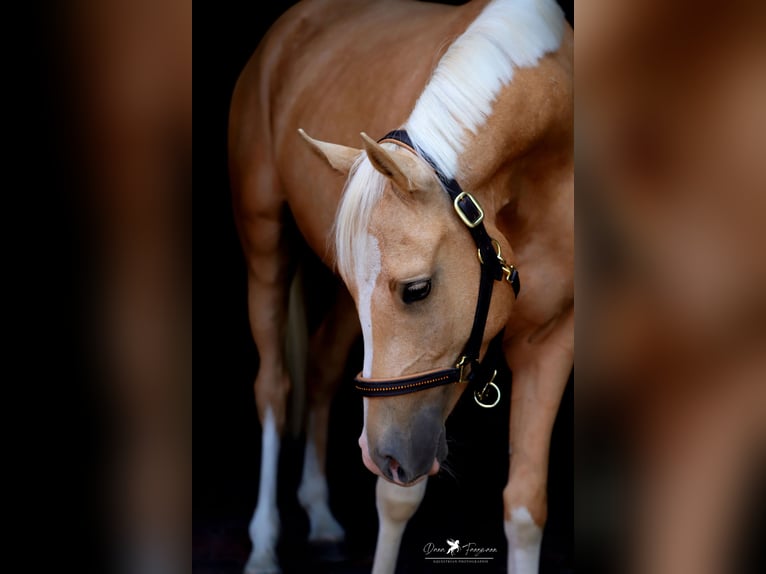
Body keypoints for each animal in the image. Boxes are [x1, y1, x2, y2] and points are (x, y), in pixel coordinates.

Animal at [231, 2, 572, 572]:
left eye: (416, 289)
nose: (378, 454)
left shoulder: (550, 339)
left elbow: (526, 510)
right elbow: (395, 501)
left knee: (321, 367)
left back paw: (319, 515)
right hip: (265, 245)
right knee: (274, 387)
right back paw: (261, 544)